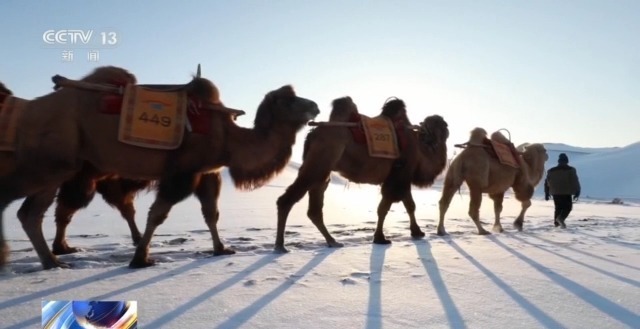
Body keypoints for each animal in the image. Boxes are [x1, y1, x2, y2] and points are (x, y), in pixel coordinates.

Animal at [0, 66, 320, 270]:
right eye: (289, 100)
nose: (316, 106)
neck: (229, 138)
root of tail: (27, 109)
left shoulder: (206, 173)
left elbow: (211, 214)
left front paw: (221, 249)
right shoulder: (182, 173)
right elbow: (157, 215)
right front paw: (140, 258)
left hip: (63, 167)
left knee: (31, 213)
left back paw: (54, 261)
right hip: (50, 163)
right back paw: (22, 258)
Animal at [276, 96, 450, 252]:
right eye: (441, 125)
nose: (447, 125)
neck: (421, 150)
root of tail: (312, 133)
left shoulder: (398, 178)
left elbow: (407, 205)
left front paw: (417, 232)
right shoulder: (401, 175)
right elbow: (390, 207)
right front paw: (381, 238)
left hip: (322, 170)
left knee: (314, 208)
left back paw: (332, 241)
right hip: (320, 162)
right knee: (287, 200)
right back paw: (280, 246)